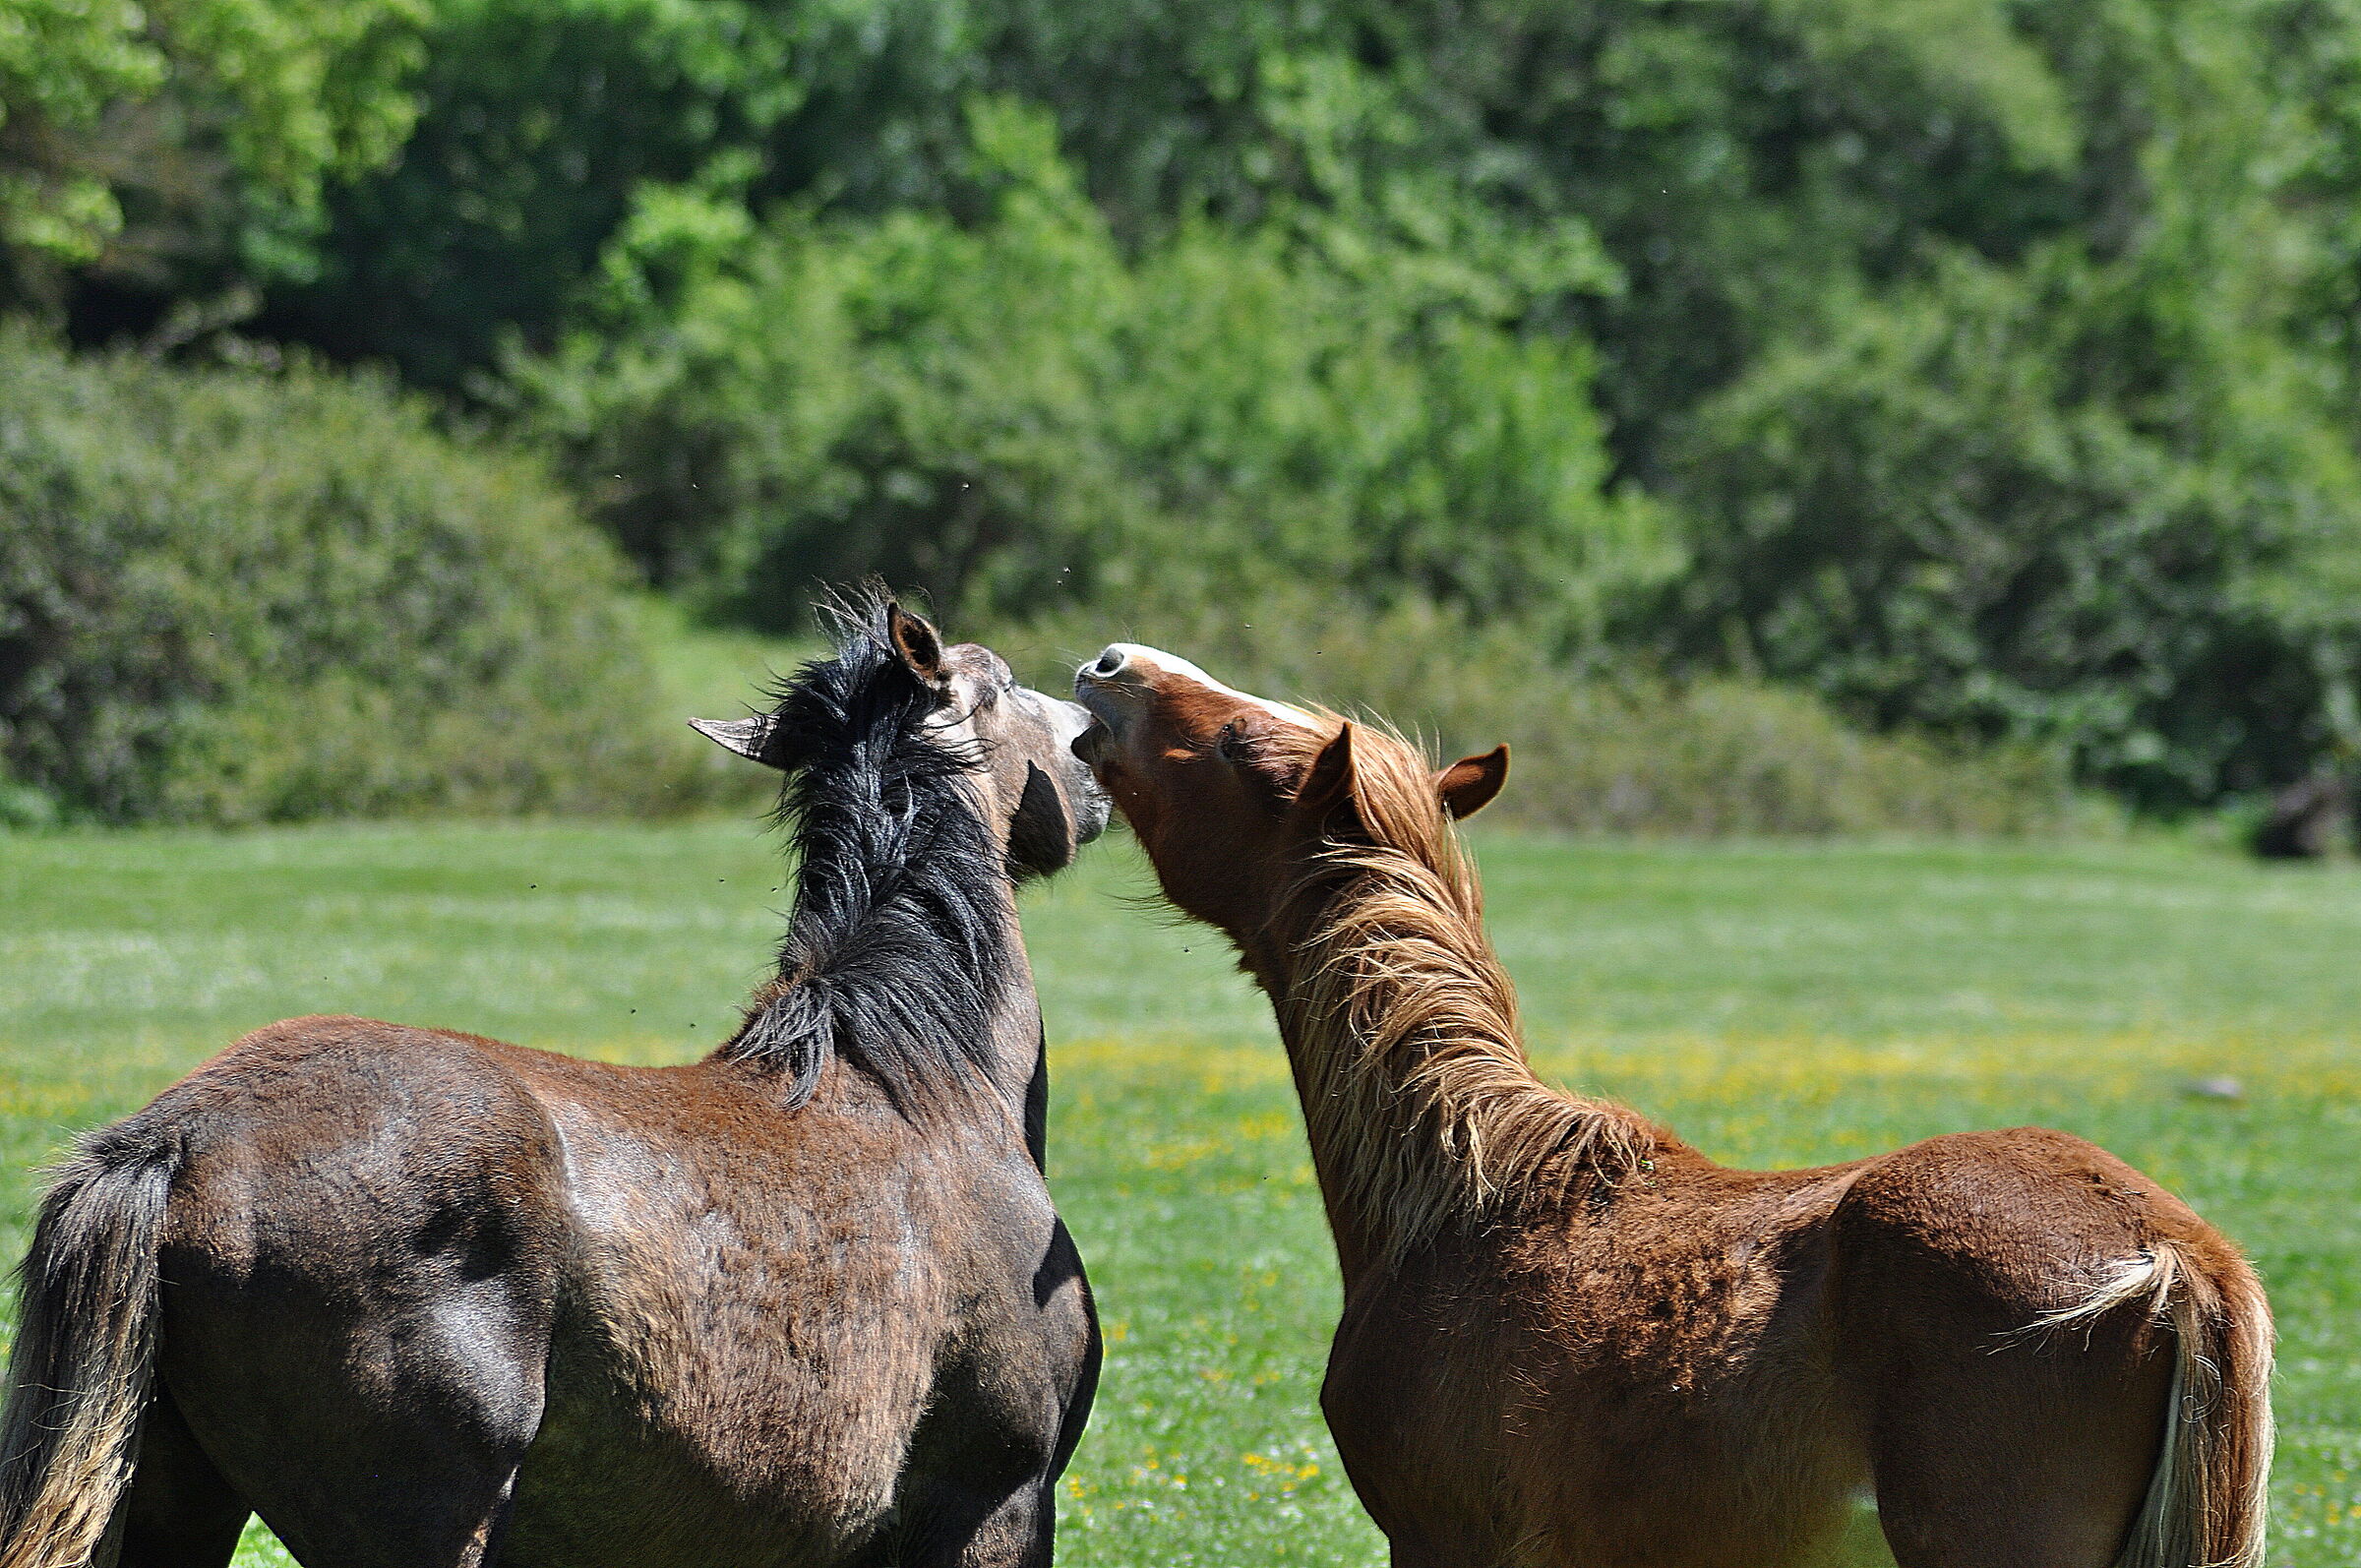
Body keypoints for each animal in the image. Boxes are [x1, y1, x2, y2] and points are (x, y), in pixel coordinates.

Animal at [0, 589, 1109, 1568]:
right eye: (1004, 680)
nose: (1092, 740)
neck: (921, 1082)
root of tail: (175, 1141)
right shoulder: (992, 1504)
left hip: (172, 1499)